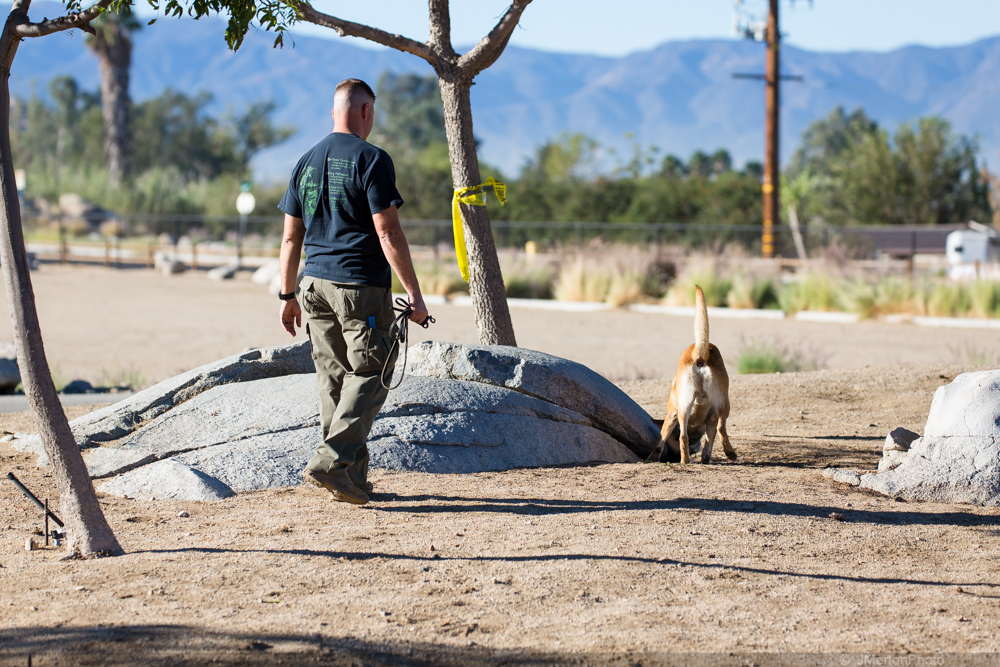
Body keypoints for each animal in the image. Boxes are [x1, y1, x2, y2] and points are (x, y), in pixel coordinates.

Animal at [646, 285, 737, 465]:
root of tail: (699, 354)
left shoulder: (675, 415)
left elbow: (662, 440)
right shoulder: (705, 418)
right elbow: (708, 443)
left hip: (686, 407)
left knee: (684, 436)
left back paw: (686, 460)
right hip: (722, 403)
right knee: (720, 428)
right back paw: (728, 453)